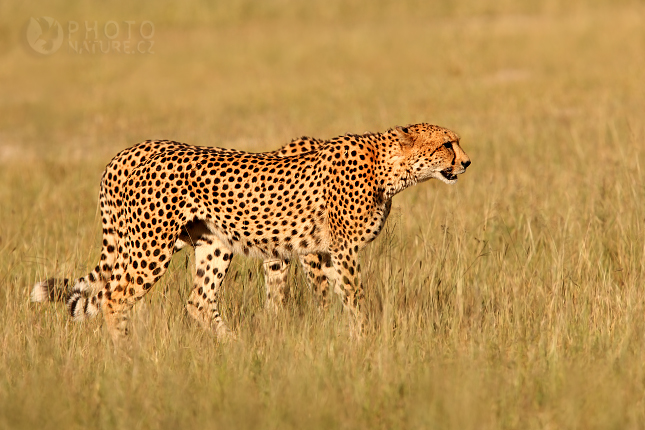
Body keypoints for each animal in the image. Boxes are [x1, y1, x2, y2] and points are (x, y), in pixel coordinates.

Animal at [36, 123, 468, 342]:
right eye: (448, 144)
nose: (466, 162)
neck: (389, 167)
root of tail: (128, 154)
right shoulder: (337, 251)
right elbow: (351, 299)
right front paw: (363, 340)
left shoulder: (324, 251)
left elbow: (333, 299)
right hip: (152, 247)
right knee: (115, 297)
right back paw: (127, 357)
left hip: (214, 244)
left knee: (197, 301)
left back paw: (234, 348)